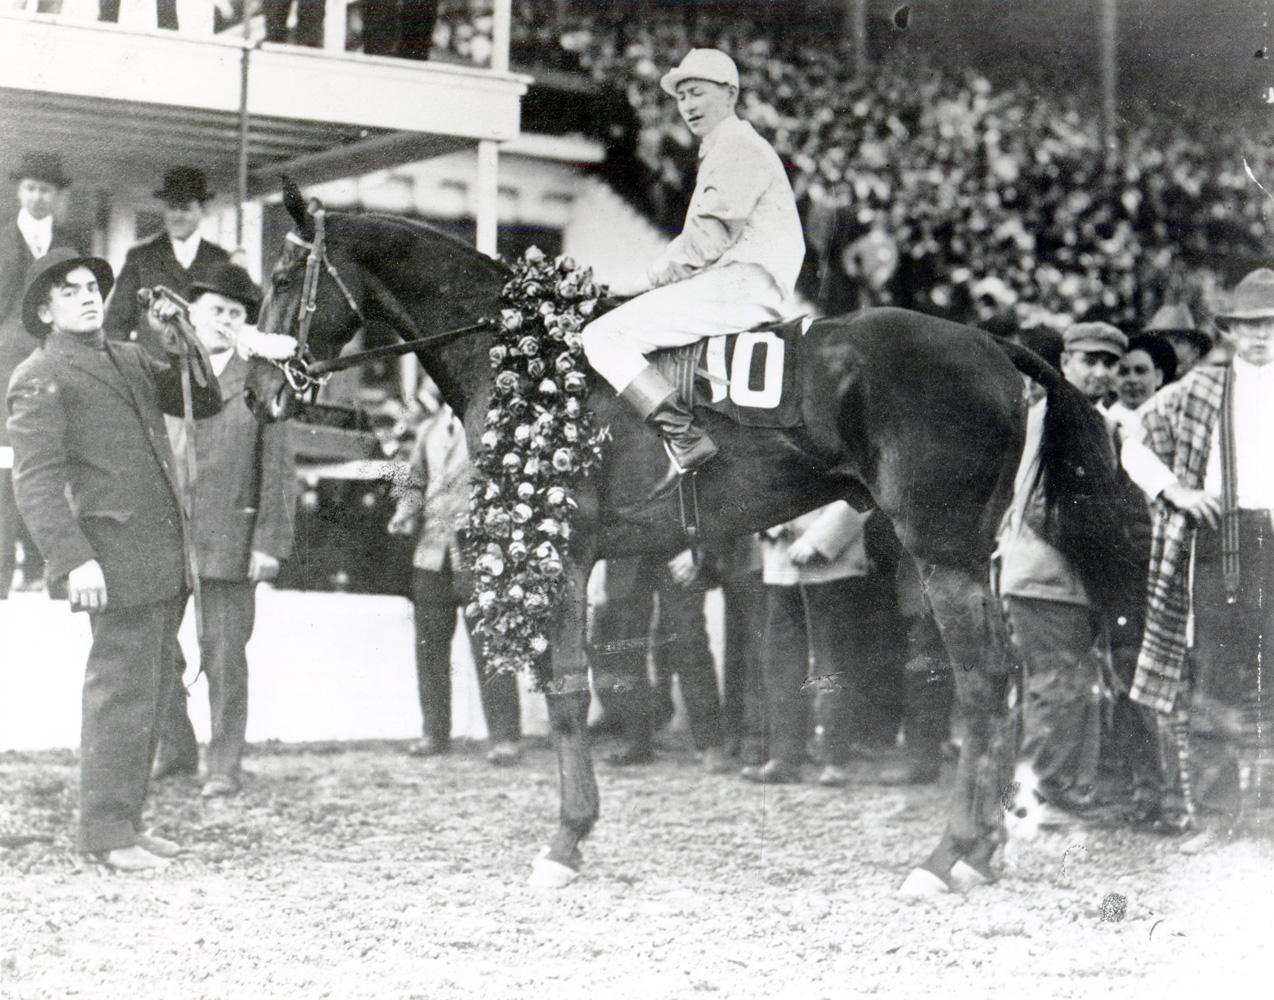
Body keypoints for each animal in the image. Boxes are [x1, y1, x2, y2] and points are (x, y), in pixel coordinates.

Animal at [243, 180, 1131, 896]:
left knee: (980, 682)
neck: (523, 346)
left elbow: (567, 693)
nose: (254, 393)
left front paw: (565, 839)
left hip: (939, 553)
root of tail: (992, 342)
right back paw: (986, 850)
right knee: (1006, 678)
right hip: (974, 555)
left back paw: (946, 856)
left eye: (284, 279)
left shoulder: (564, 549)